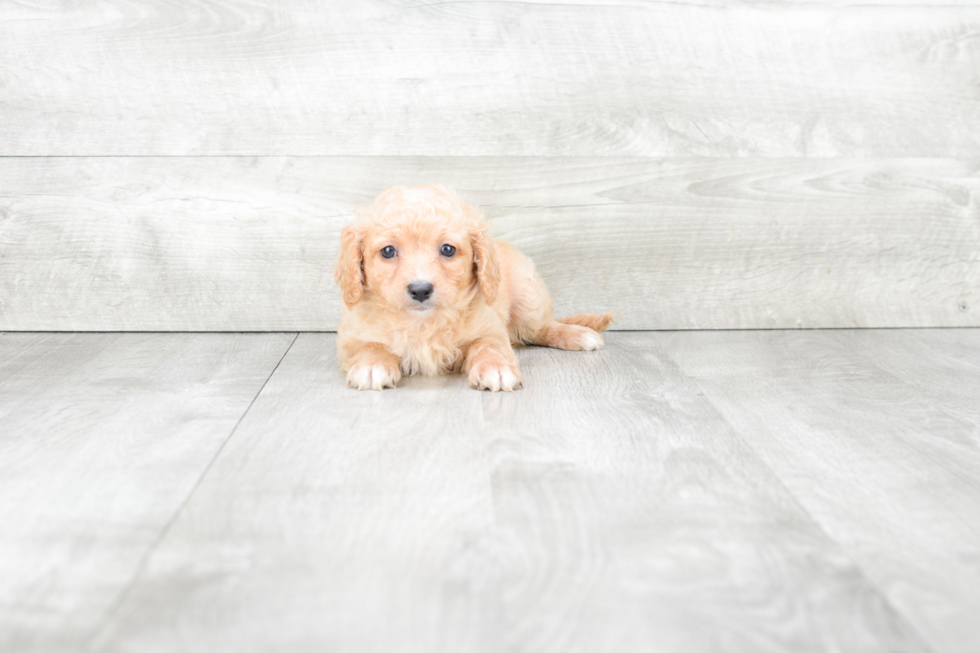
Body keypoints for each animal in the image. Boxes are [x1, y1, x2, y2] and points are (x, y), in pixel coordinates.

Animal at [336, 183, 612, 390]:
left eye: (448, 249)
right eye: (388, 251)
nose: (421, 290)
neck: (422, 322)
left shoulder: (490, 328)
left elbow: (488, 346)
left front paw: (496, 368)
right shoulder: (353, 333)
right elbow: (367, 346)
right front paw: (372, 365)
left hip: (528, 298)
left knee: (541, 328)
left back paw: (577, 334)